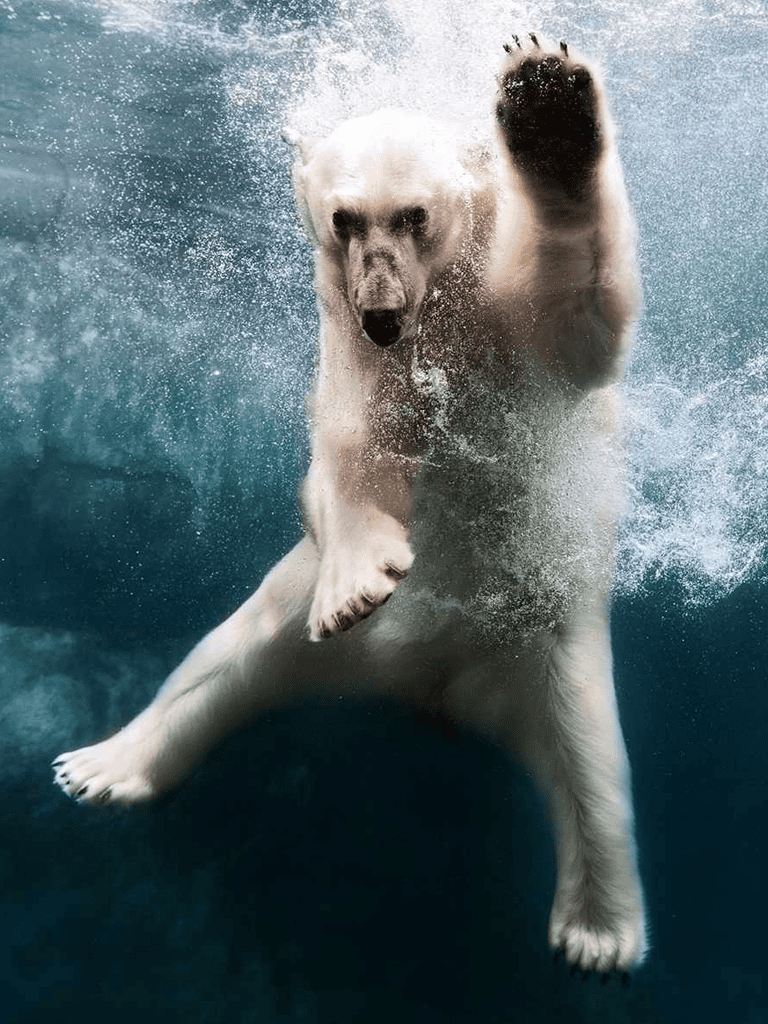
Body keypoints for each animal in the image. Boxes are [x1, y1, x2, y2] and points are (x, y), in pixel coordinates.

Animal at [53, 36, 647, 975]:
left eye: (415, 216)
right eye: (343, 219)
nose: (382, 313)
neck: (438, 312)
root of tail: (433, 685)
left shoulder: (511, 333)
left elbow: (580, 316)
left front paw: (546, 104)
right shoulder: (355, 359)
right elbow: (347, 460)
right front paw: (359, 583)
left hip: (554, 642)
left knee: (592, 767)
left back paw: (597, 933)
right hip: (292, 619)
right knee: (218, 664)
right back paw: (102, 764)